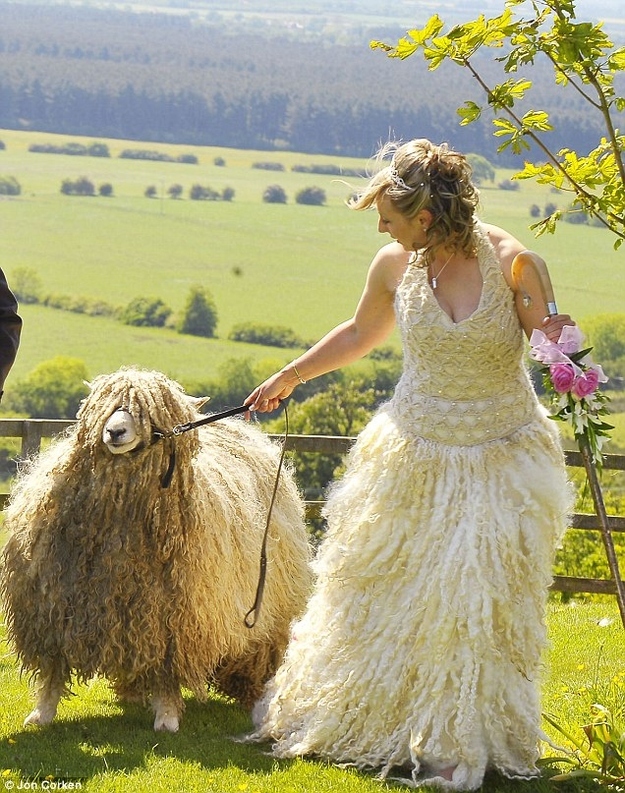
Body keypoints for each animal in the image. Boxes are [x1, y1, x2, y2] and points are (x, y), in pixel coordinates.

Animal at [0, 368, 312, 732]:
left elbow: (167, 669)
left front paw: (167, 715)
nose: (115, 431)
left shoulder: (172, 617)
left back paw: (250, 691)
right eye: (106, 405)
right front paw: (42, 712)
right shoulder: (55, 606)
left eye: (148, 413)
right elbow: (53, 667)